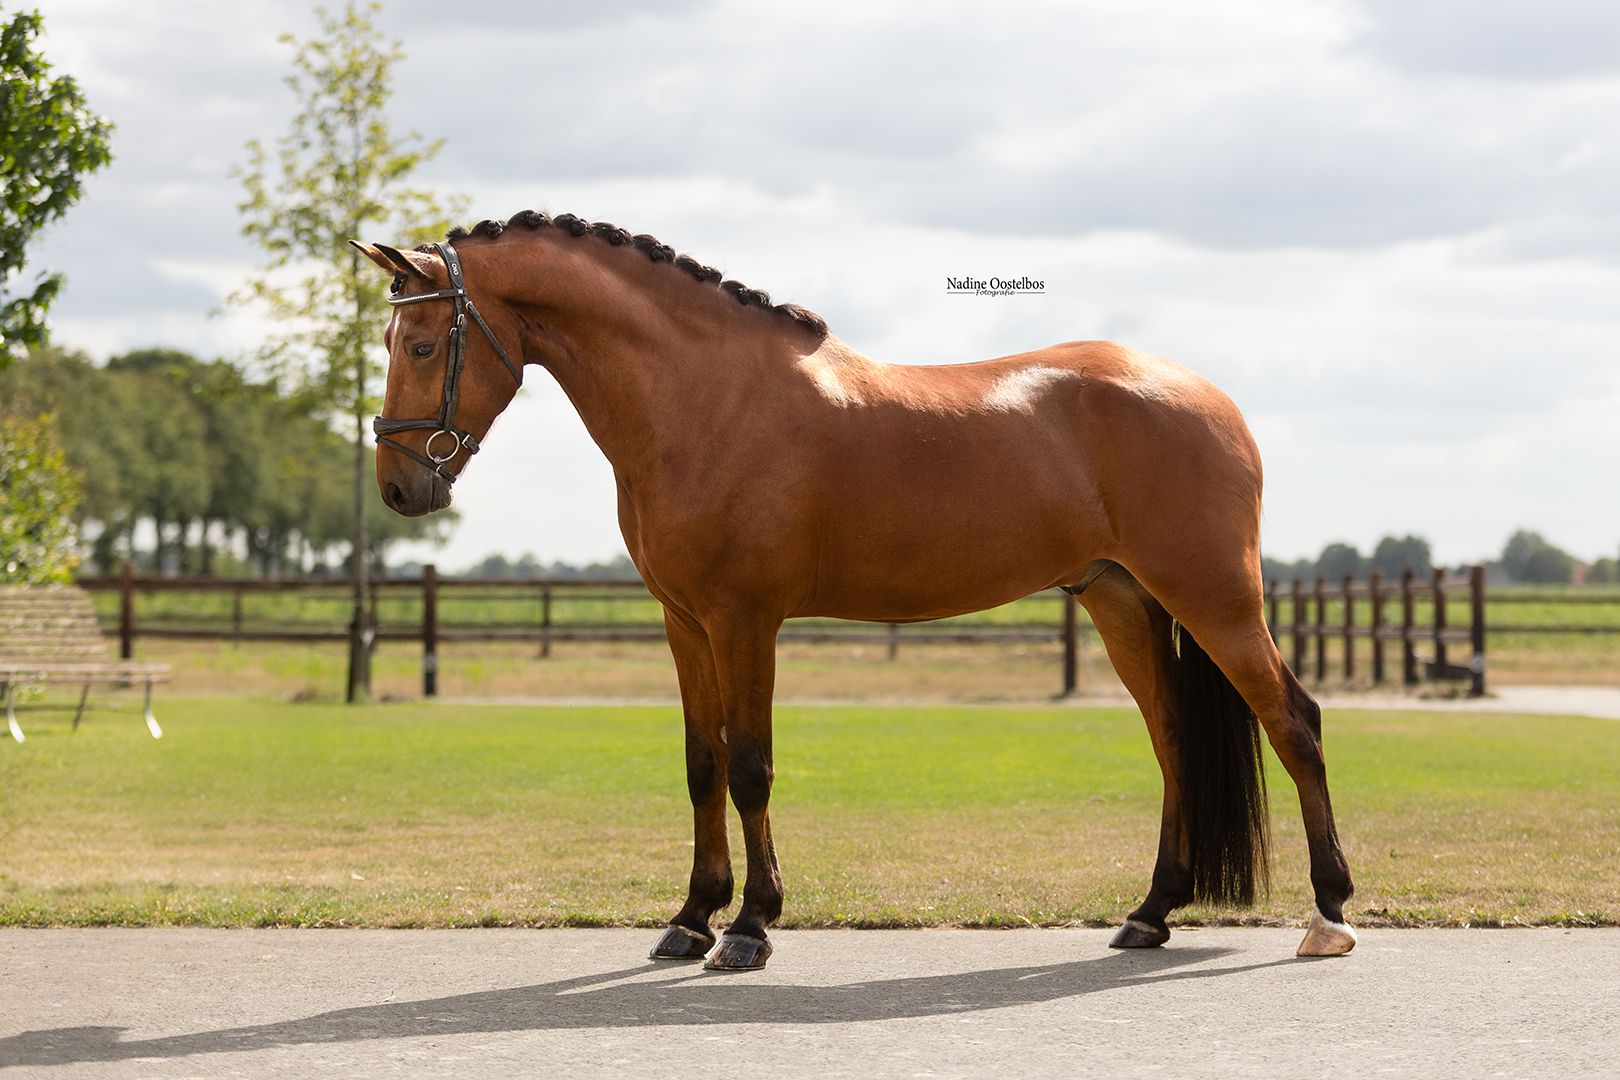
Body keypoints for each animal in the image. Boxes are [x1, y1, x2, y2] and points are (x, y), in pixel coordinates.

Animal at [352, 212, 1357, 971]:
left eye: (423, 341)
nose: (399, 489)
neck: (704, 399)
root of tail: (1208, 397)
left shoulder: (744, 621)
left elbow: (750, 766)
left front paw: (750, 928)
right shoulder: (685, 625)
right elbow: (702, 766)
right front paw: (690, 919)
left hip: (1215, 598)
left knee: (1294, 722)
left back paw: (1331, 914)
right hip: (1120, 601)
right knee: (1175, 742)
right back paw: (1150, 913)